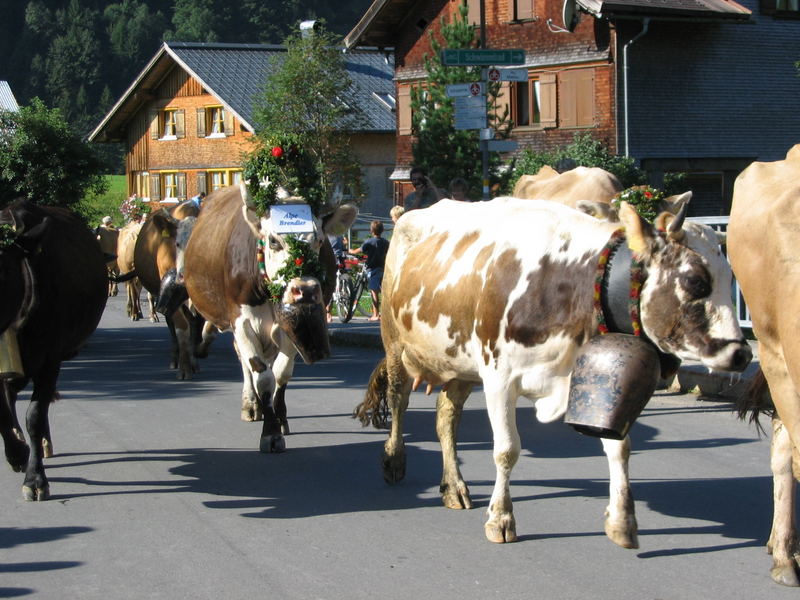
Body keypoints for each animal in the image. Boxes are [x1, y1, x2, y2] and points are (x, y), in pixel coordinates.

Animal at [184, 185, 356, 452]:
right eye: (274, 241)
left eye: (319, 240)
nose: (305, 289)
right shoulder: (242, 322)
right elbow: (263, 377)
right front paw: (271, 433)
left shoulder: (287, 326)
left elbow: (281, 373)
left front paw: (280, 417)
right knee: (245, 361)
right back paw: (250, 405)